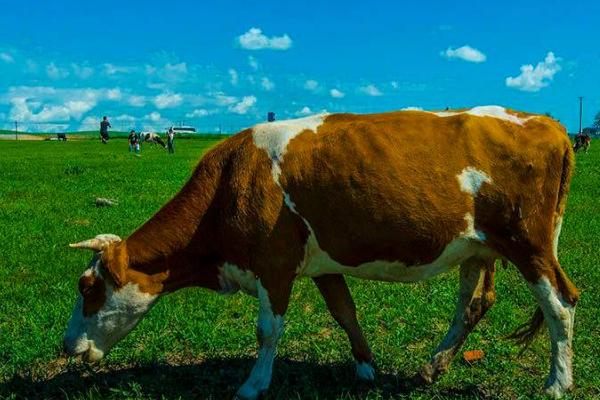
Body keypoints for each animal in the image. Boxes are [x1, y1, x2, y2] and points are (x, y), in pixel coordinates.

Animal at [63, 104, 580, 398]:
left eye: (87, 287)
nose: (66, 347)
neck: (230, 181)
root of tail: (549, 125)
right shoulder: (319, 265)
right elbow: (345, 312)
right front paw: (367, 369)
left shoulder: (273, 263)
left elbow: (268, 330)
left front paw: (253, 385)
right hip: (476, 247)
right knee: (472, 305)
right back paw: (432, 367)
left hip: (528, 242)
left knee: (560, 303)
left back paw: (557, 382)